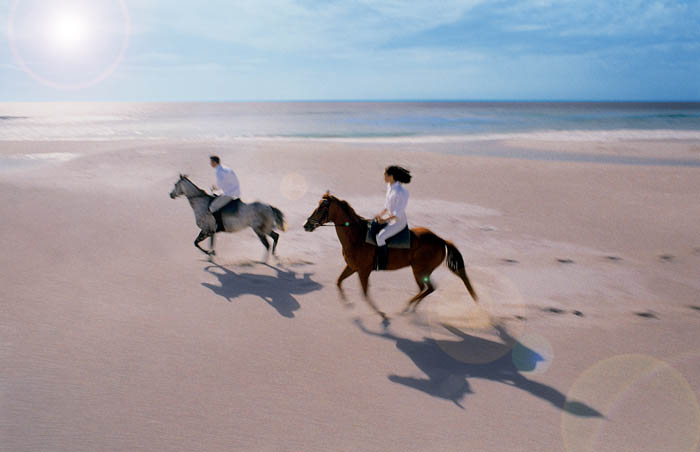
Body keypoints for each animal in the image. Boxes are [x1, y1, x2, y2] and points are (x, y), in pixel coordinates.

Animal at [304, 192, 478, 320]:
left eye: (321, 208)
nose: (306, 225)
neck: (357, 236)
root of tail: (441, 240)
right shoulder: (352, 267)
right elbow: (339, 281)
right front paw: (348, 304)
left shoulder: (363, 271)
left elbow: (365, 293)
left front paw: (381, 313)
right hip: (421, 271)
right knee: (426, 289)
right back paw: (410, 308)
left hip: (419, 270)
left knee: (428, 288)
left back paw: (406, 307)